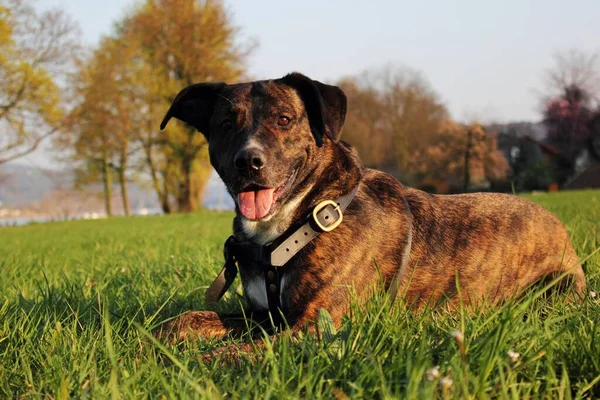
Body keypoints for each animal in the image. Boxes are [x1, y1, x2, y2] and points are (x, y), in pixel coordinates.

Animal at [157, 72, 588, 344]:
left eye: (284, 119)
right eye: (226, 125)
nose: (249, 161)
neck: (307, 214)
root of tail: (557, 223)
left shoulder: (316, 327)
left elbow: (233, 355)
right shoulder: (263, 317)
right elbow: (188, 319)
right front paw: (151, 343)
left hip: (553, 291)